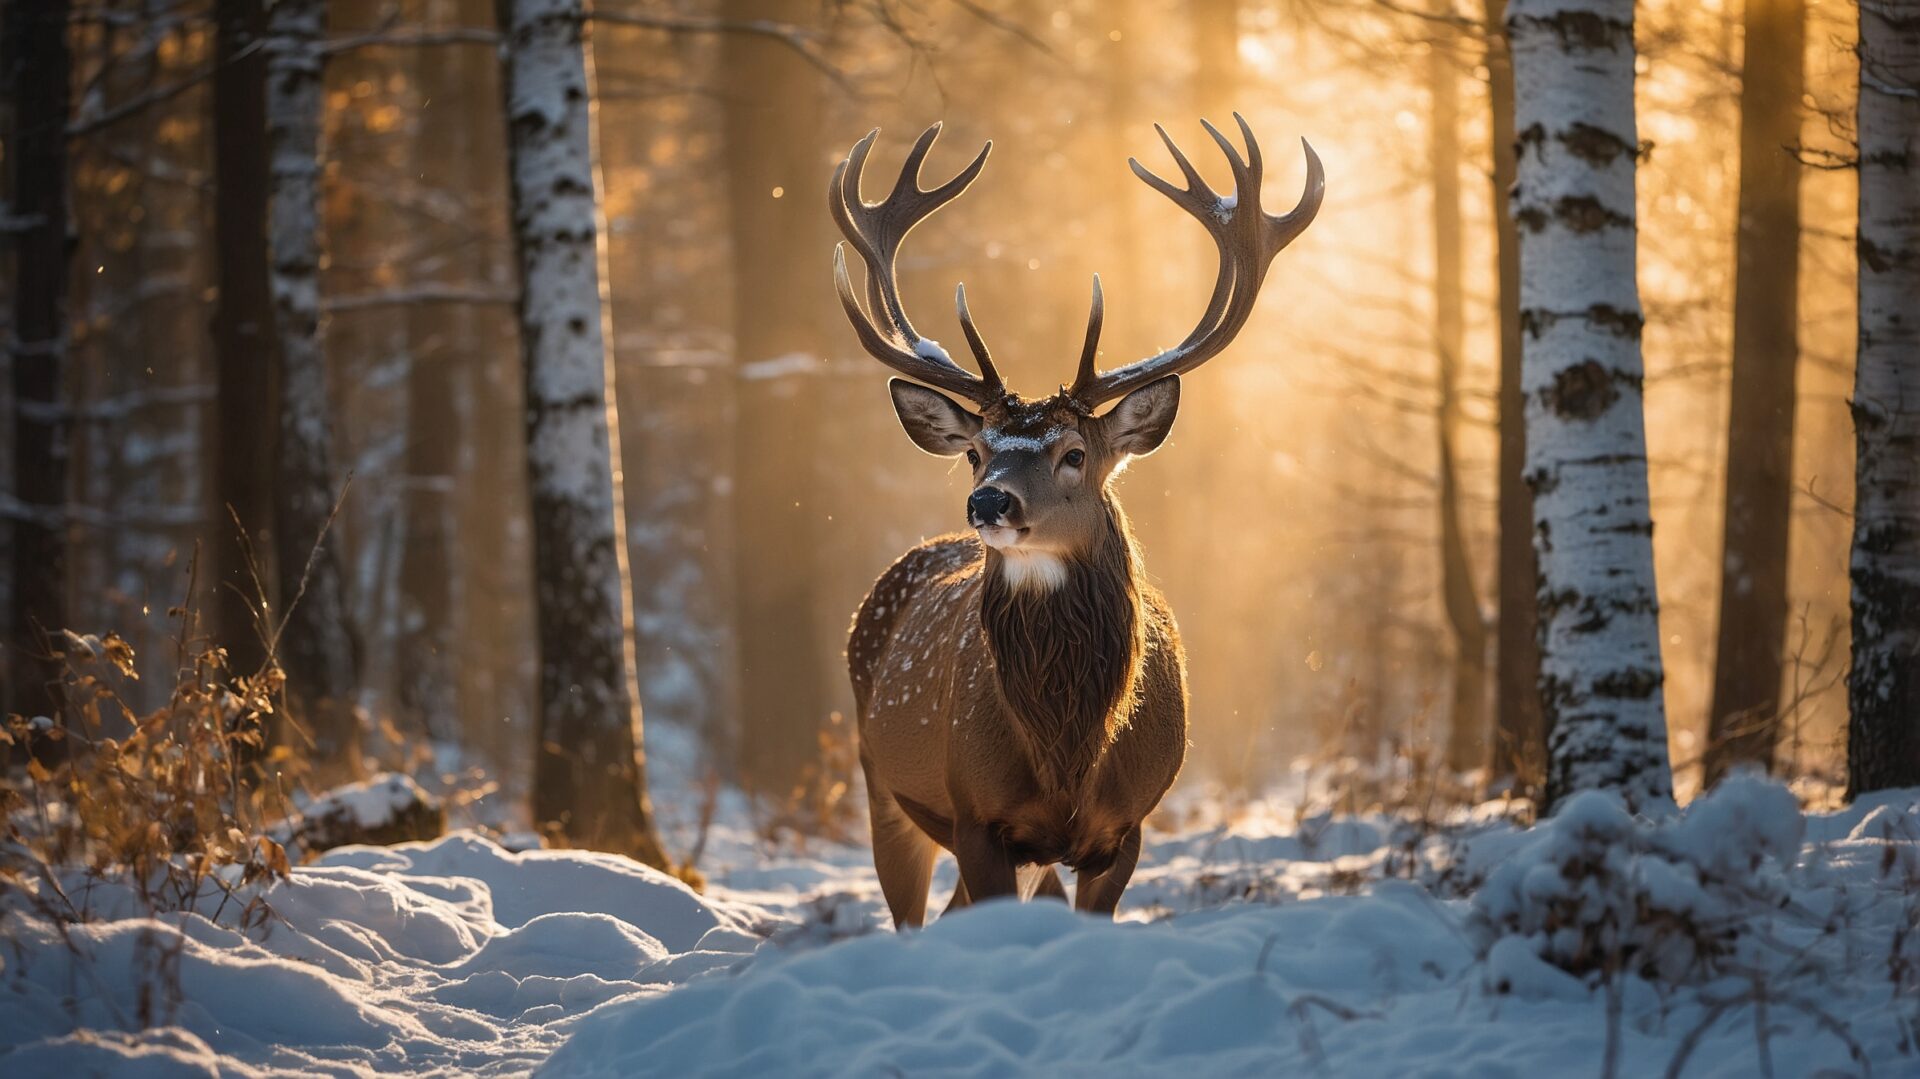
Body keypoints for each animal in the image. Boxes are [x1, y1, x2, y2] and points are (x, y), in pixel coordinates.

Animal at [834, 116, 1323, 928]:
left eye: (1073, 453)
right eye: (976, 452)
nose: (989, 502)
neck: (1068, 754)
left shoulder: (1126, 828)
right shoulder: (978, 816)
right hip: (882, 785)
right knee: (911, 916)